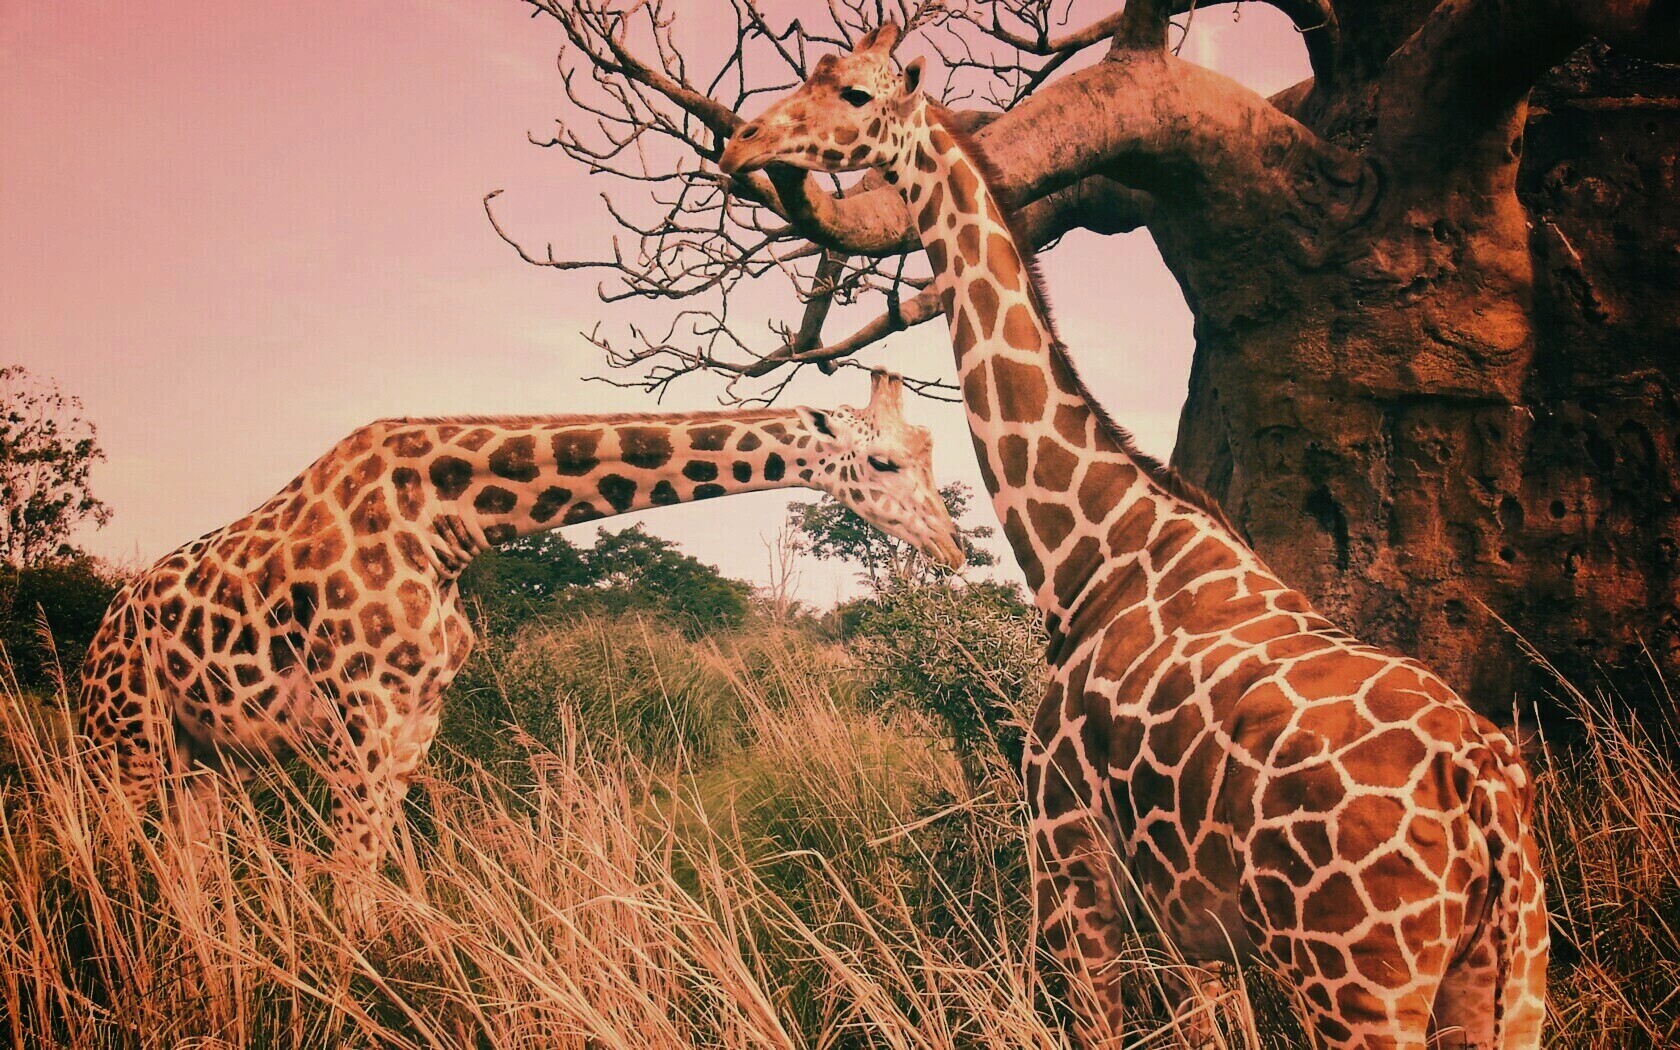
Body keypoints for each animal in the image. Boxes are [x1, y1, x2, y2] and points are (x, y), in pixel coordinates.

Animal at [79, 369, 962, 916]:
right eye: (883, 461)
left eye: (928, 453)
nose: (953, 548)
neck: (446, 522)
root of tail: (98, 640)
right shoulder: (359, 717)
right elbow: (349, 889)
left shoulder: (415, 722)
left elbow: (375, 880)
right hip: (124, 748)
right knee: (117, 868)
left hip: (200, 760)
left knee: (187, 873)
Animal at [721, 25, 1547, 1049]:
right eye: (815, 73)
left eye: (854, 92)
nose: (743, 142)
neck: (1090, 552)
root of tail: (1487, 796)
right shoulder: (1192, 923)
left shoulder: (1067, 855)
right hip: (1507, 975)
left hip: (1360, 981)